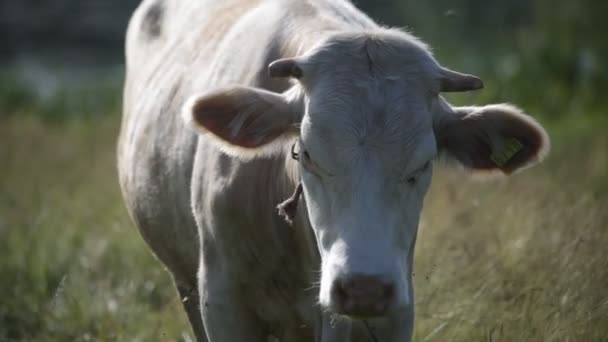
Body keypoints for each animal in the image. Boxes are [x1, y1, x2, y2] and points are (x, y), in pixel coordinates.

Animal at [119, 0, 552, 342]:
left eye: (424, 163)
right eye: (306, 154)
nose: (364, 288)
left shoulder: (393, 311)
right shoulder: (223, 302)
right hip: (185, 281)